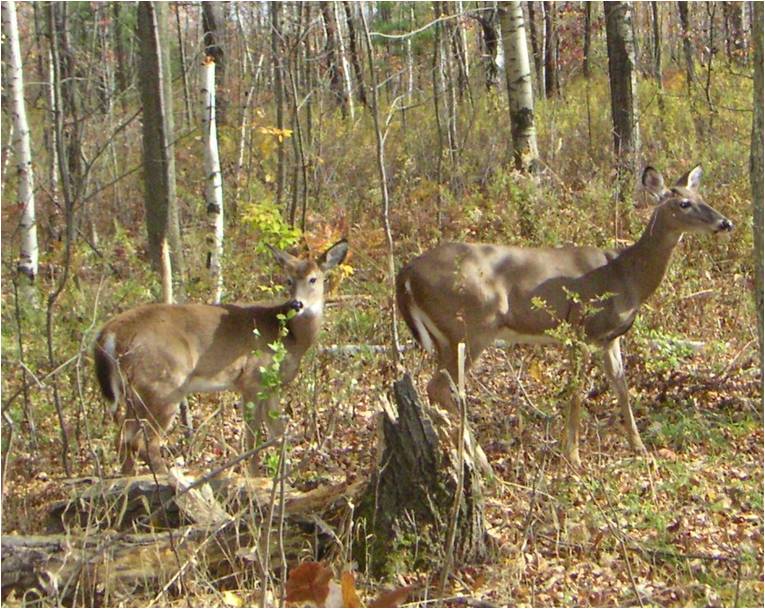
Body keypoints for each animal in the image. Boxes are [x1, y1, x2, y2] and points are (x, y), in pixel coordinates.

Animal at [94, 240, 348, 475]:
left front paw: (283, 476)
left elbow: (279, 433)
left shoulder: (272, 386)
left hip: (133, 392)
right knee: (144, 442)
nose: (297, 303)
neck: (290, 337)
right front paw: (255, 477)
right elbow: (253, 438)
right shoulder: (252, 379)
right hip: (164, 384)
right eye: (289, 280)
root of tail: (108, 333)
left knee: (123, 439)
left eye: (314, 279)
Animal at [396, 166, 733, 467]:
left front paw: (639, 448)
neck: (625, 274)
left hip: (448, 337)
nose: (725, 222)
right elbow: (576, 393)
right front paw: (572, 457)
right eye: (683, 203)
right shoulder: (581, 328)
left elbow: (622, 388)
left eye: (701, 195)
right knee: (441, 388)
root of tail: (406, 272)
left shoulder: (609, 338)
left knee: (440, 390)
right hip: (471, 326)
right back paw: (481, 463)